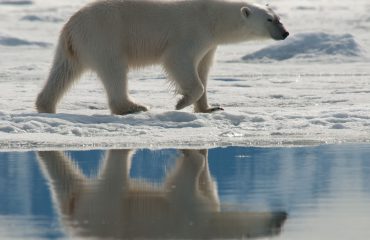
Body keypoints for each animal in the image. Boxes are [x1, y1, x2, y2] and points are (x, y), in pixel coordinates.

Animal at [35, 0, 290, 114]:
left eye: (278, 17)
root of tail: (71, 27)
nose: (285, 33)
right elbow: (178, 61)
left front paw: (210, 108)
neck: (212, 16)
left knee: (63, 71)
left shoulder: (209, 44)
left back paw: (45, 105)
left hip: (73, 47)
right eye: (270, 19)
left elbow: (204, 70)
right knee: (114, 69)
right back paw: (133, 106)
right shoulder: (191, 32)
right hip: (105, 35)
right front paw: (181, 103)